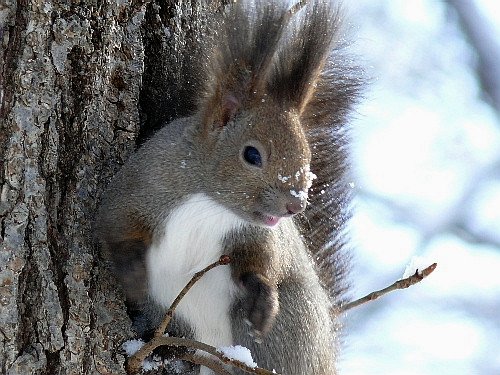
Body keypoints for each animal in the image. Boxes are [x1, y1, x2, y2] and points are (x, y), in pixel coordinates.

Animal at [96, 1, 364, 374]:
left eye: (307, 156)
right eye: (252, 154)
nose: (295, 205)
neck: (210, 204)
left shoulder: (258, 236)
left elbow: (262, 262)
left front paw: (263, 299)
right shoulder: (136, 189)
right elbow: (114, 227)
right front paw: (133, 274)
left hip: (292, 324)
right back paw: (163, 349)